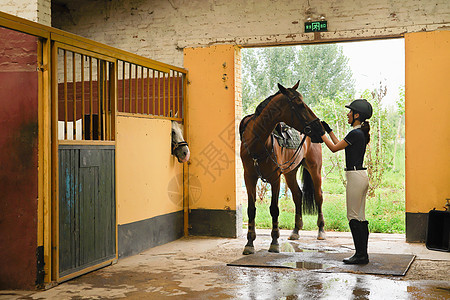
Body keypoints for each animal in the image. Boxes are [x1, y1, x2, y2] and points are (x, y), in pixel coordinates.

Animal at [241, 82, 326, 255]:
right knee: (298, 195)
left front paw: (274, 242)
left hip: (314, 168)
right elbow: (251, 209)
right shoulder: (249, 177)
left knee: (319, 196)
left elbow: (274, 209)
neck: (256, 142)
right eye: (300, 105)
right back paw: (296, 230)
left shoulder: (275, 178)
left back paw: (320, 230)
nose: (320, 129)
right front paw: (249, 243)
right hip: (291, 172)